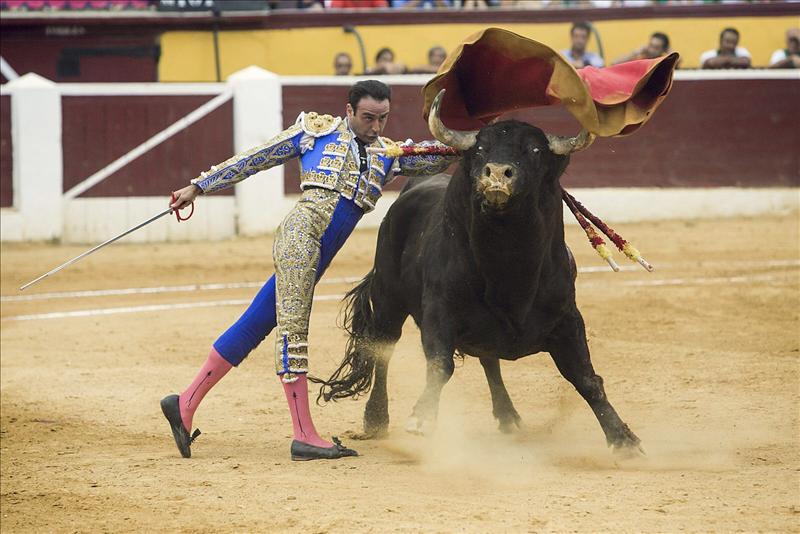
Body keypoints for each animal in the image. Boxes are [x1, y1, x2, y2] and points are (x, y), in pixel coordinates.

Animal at [314, 95, 644, 452]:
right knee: (383, 349)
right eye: (481, 149)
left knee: (490, 360)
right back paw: (376, 419)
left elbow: (586, 378)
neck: (509, 269)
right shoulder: (439, 311)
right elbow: (439, 365)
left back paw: (508, 416)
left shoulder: (568, 318)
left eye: (535, 150)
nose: (497, 173)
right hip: (389, 300)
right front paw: (422, 418)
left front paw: (622, 437)